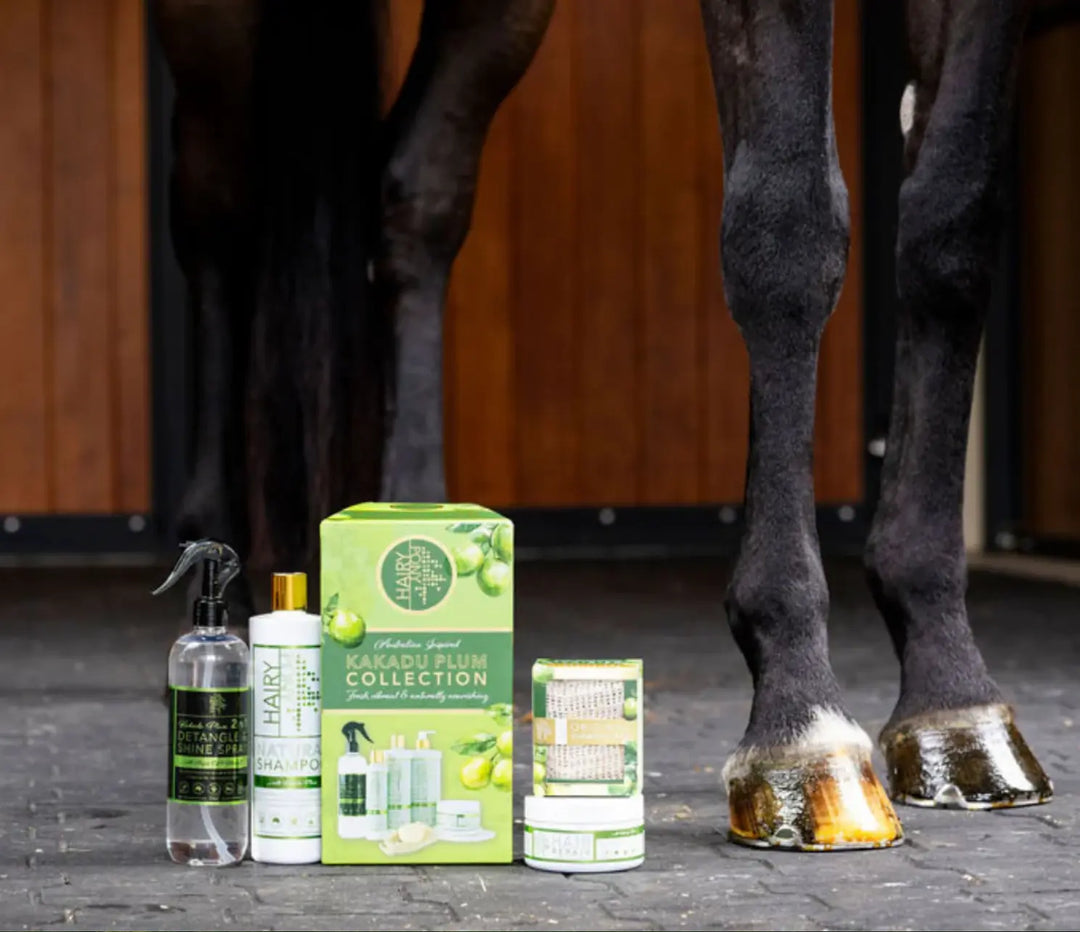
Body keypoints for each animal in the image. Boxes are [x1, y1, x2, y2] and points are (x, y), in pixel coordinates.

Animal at [154, 0, 1051, 850]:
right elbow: (790, 229)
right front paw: (800, 724)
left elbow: (951, 223)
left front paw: (952, 700)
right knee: (214, 216)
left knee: (419, 195)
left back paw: (416, 522)